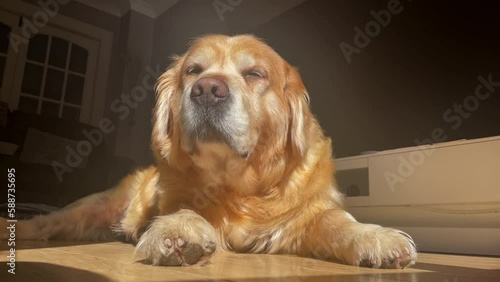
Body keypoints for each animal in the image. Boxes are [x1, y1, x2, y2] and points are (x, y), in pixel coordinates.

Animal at [0, 34, 414, 268]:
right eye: (193, 70)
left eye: (254, 74)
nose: (207, 90)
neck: (241, 187)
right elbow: (185, 208)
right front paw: (178, 230)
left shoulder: (301, 217)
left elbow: (335, 220)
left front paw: (375, 237)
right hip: (88, 207)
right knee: (43, 222)